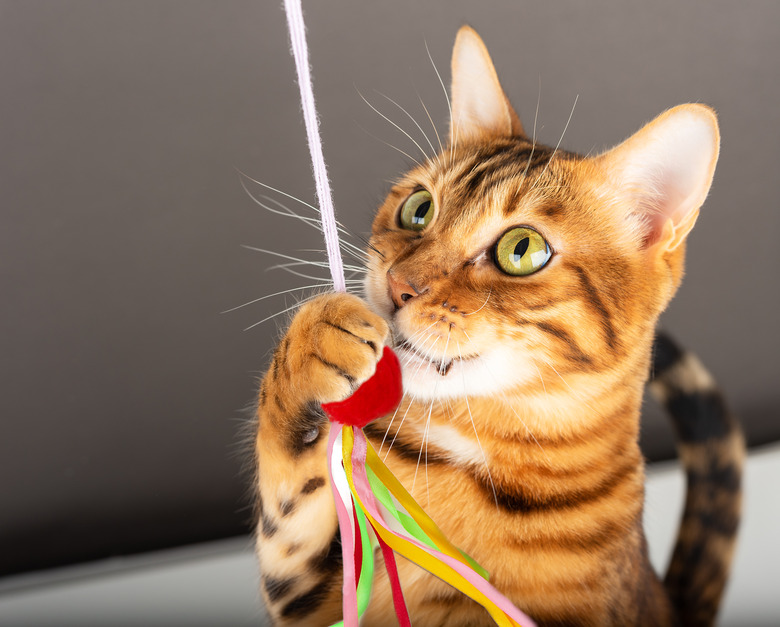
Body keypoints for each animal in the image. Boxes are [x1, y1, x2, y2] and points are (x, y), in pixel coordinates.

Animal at [253, 24, 748, 627]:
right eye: (419, 208)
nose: (397, 285)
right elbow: (287, 498)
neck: (474, 457)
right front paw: (312, 340)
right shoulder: (311, 595)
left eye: (523, 249)